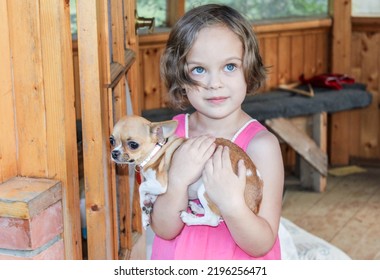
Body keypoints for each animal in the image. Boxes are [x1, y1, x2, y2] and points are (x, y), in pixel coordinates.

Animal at [110, 115, 262, 229]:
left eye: (133, 145)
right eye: (111, 140)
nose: (114, 153)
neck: (157, 150)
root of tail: (255, 201)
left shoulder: (161, 184)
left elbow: (141, 188)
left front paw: (144, 209)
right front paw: (146, 211)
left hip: (205, 188)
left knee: (212, 218)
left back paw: (189, 218)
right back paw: (197, 208)